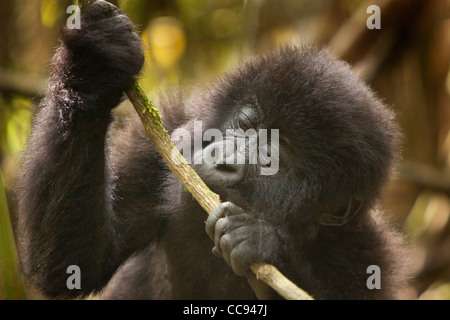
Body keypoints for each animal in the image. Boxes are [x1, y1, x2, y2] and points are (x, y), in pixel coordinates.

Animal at [16, 1, 408, 298]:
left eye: (276, 160)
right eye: (247, 125)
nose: (224, 160)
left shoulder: (366, 255)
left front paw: (262, 242)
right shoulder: (163, 138)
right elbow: (74, 263)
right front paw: (93, 67)